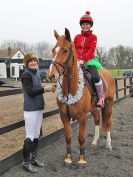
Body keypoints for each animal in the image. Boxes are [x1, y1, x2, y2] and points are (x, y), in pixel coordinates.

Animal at [47, 28, 114, 167]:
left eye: (65, 50)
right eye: (53, 50)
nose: (51, 75)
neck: (70, 91)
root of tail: (108, 73)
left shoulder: (82, 117)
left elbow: (81, 138)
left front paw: (82, 159)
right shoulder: (64, 116)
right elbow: (68, 136)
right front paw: (68, 158)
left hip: (109, 104)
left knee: (108, 123)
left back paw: (108, 144)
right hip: (94, 108)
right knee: (97, 120)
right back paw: (94, 142)